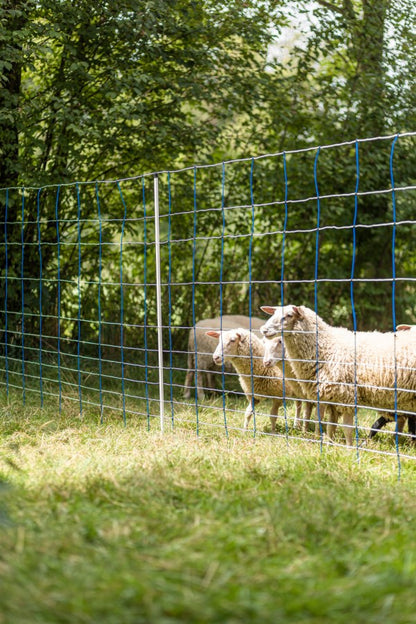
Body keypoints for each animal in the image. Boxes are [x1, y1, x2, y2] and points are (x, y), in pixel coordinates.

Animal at [260, 304, 416, 446]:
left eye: (289, 315)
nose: (264, 330)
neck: (326, 347)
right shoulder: (332, 398)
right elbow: (331, 426)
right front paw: (330, 445)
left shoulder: (346, 396)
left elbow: (347, 428)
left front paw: (349, 449)